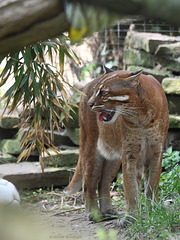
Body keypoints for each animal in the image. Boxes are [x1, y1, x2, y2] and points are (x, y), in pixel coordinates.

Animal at [64, 67, 169, 227]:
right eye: (96, 91)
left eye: (103, 92)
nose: (90, 103)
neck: (140, 115)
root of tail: (86, 85)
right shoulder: (130, 153)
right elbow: (130, 186)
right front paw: (131, 217)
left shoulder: (156, 151)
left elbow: (152, 183)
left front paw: (154, 208)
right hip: (91, 148)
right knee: (89, 183)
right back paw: (94, 214)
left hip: (113, 158)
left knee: (103, 183)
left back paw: (108, 211)